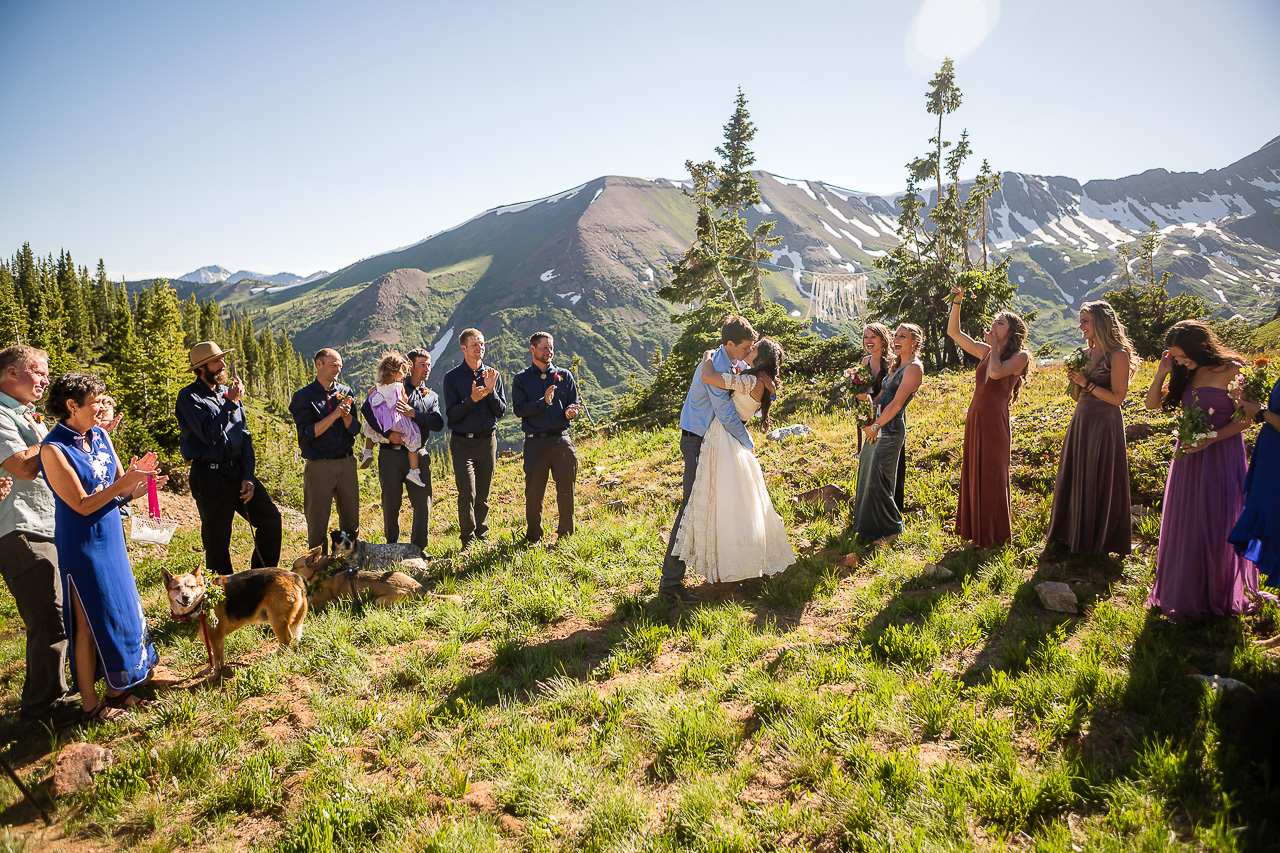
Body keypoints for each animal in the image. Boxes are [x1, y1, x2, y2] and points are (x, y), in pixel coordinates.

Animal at [162, 560, 307, 676]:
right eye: (177, 588)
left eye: (192, 587)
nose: (186, 597)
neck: (202, 601)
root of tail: (294, 577)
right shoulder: (207, 638)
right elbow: (212, 656)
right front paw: (209, 670)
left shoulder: (216, 638)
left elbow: (218, 659)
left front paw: (215, 676)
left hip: (276, 620)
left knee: (286, 639)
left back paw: (277, 657)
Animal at [291, 540, 465, 607]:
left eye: (294, 567)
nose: (289, 574)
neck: (325, 570)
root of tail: (420, 589)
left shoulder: (323, 600)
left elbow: (307, 599)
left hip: (379, 600)